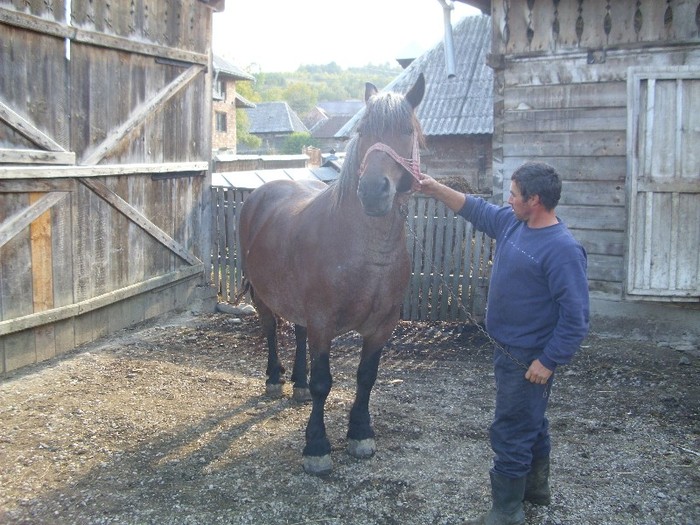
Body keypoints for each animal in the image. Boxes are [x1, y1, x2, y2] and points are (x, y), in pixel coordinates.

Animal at [239, 72, 426, 474]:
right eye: (363, 131)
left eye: (407, 130)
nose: (373, 191)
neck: (368, 254)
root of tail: (259, 194)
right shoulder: (324, 323)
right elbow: (324, 383)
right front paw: (316, 447)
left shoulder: (382, 326)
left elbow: (366, 378)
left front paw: (360, 433)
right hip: (263, 296)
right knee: (271, 329)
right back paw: (275, 379)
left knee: (297, 331)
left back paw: (297, 384)